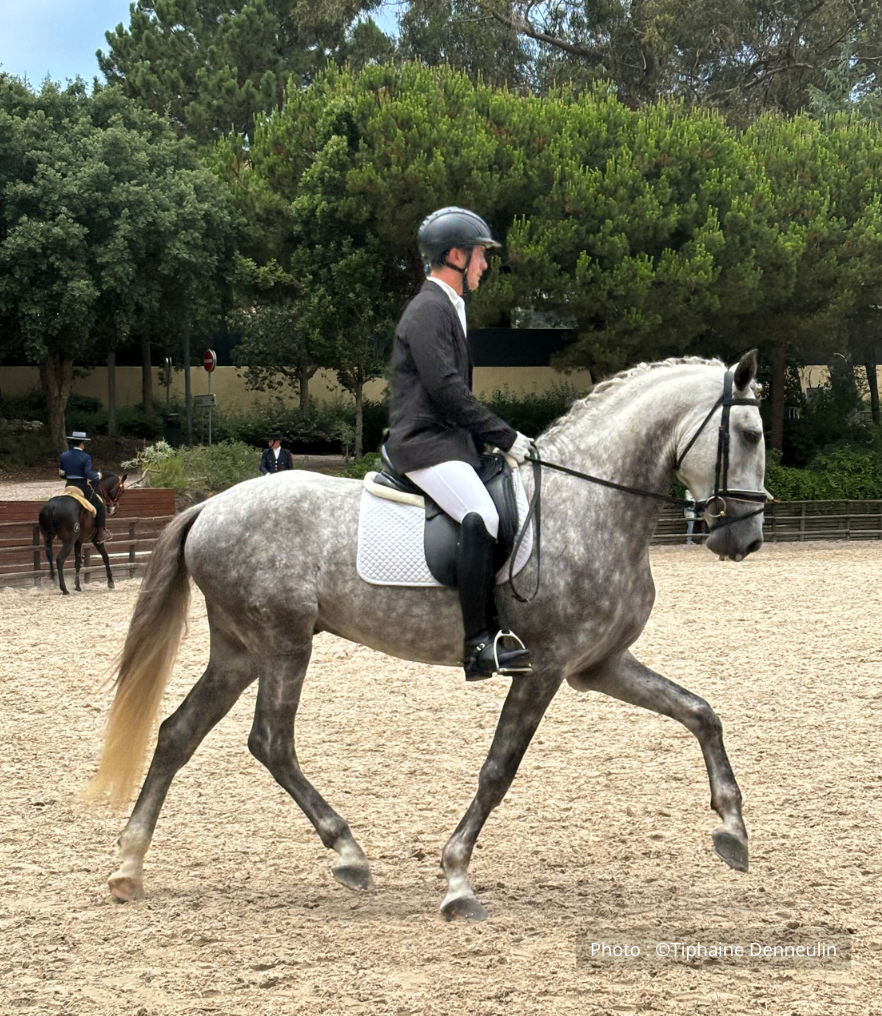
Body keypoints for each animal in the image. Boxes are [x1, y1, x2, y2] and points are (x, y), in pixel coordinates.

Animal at [87, 353, 766, 921]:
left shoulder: (599, 665)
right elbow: (498, 769)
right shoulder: (545, 667)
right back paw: (347, 853)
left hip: (239, 650)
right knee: (270, 742)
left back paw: (129, 867)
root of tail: (210, 506)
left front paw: (733, 831)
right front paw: (457, 879)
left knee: (178, 733)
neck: (587, 502)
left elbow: (701, 713)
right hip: (283, 644)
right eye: (751, 435)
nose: (747, 538)